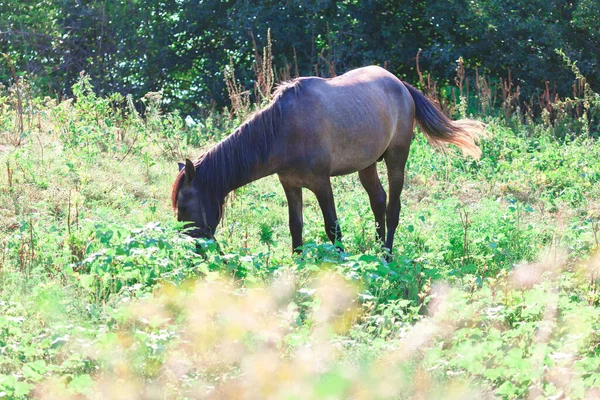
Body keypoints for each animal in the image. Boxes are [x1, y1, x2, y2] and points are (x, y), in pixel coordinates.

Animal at [170, 65, 482, 253]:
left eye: (184, 205)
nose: (193, 248)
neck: (283, 130)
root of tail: (401, 85)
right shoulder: (290, 185)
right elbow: (295, 227)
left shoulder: (321, 183)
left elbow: (333, 228)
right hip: (367, 165)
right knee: (378, 201)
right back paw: (377, 249)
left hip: (396, 159)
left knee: (393, 208)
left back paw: (386, 255)